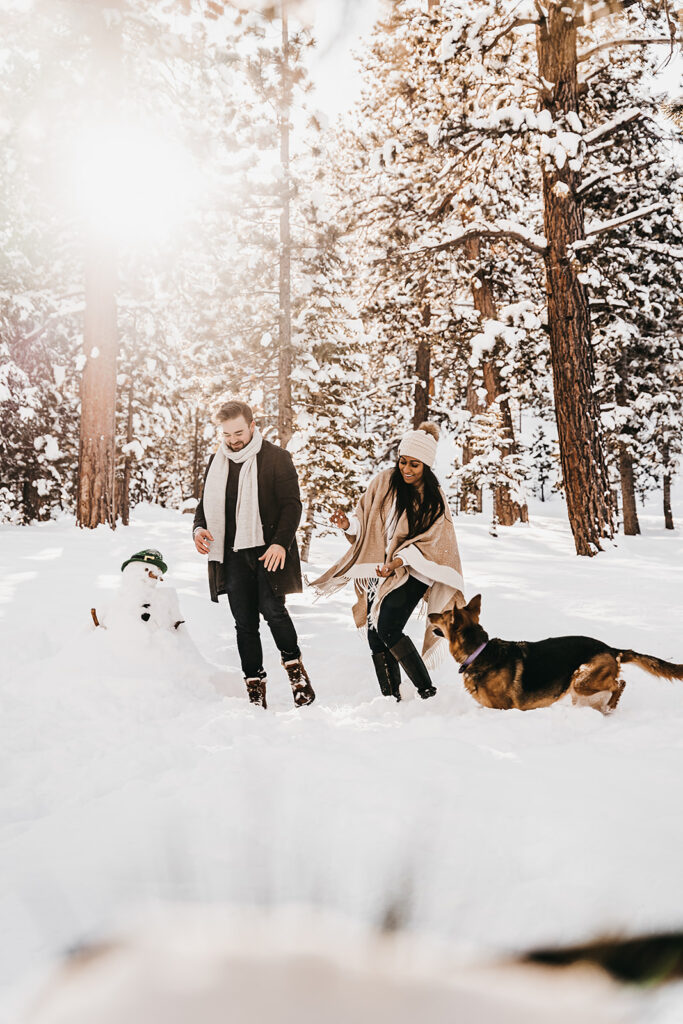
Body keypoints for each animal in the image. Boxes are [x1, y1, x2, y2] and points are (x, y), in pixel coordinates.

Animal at [432, 598, 683, 716]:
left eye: (443, 615)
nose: (430, 613)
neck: (479, 651)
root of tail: (611, 649)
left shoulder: (503, 709)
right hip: (579, 689)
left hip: (581, 678)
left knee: (619, 683)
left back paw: (611, 706)